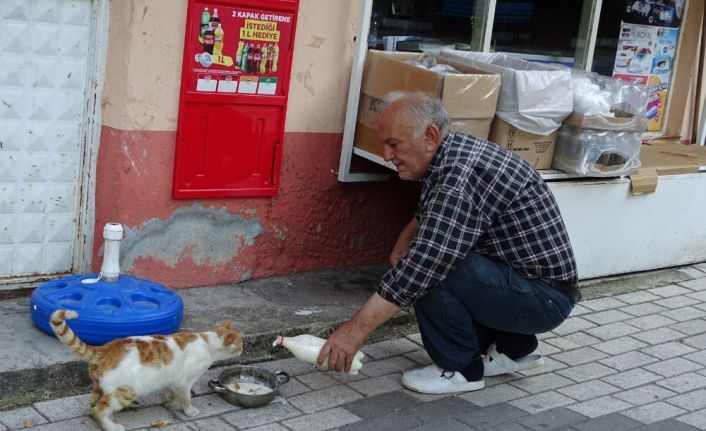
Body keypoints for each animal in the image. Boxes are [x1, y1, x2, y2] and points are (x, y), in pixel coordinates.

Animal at [49, 310, 242, 431]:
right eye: (240, 343)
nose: (242, 348)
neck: (208, 343)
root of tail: (106, 348)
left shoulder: (171, 379)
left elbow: (171, 393)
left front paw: (174, 404)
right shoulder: (184, 382)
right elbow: (186, 398)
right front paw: (188, 411)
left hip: (99, 387)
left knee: (94, 405)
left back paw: (109, 420)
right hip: (128, 390)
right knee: (98, 410)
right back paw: (112, 427)